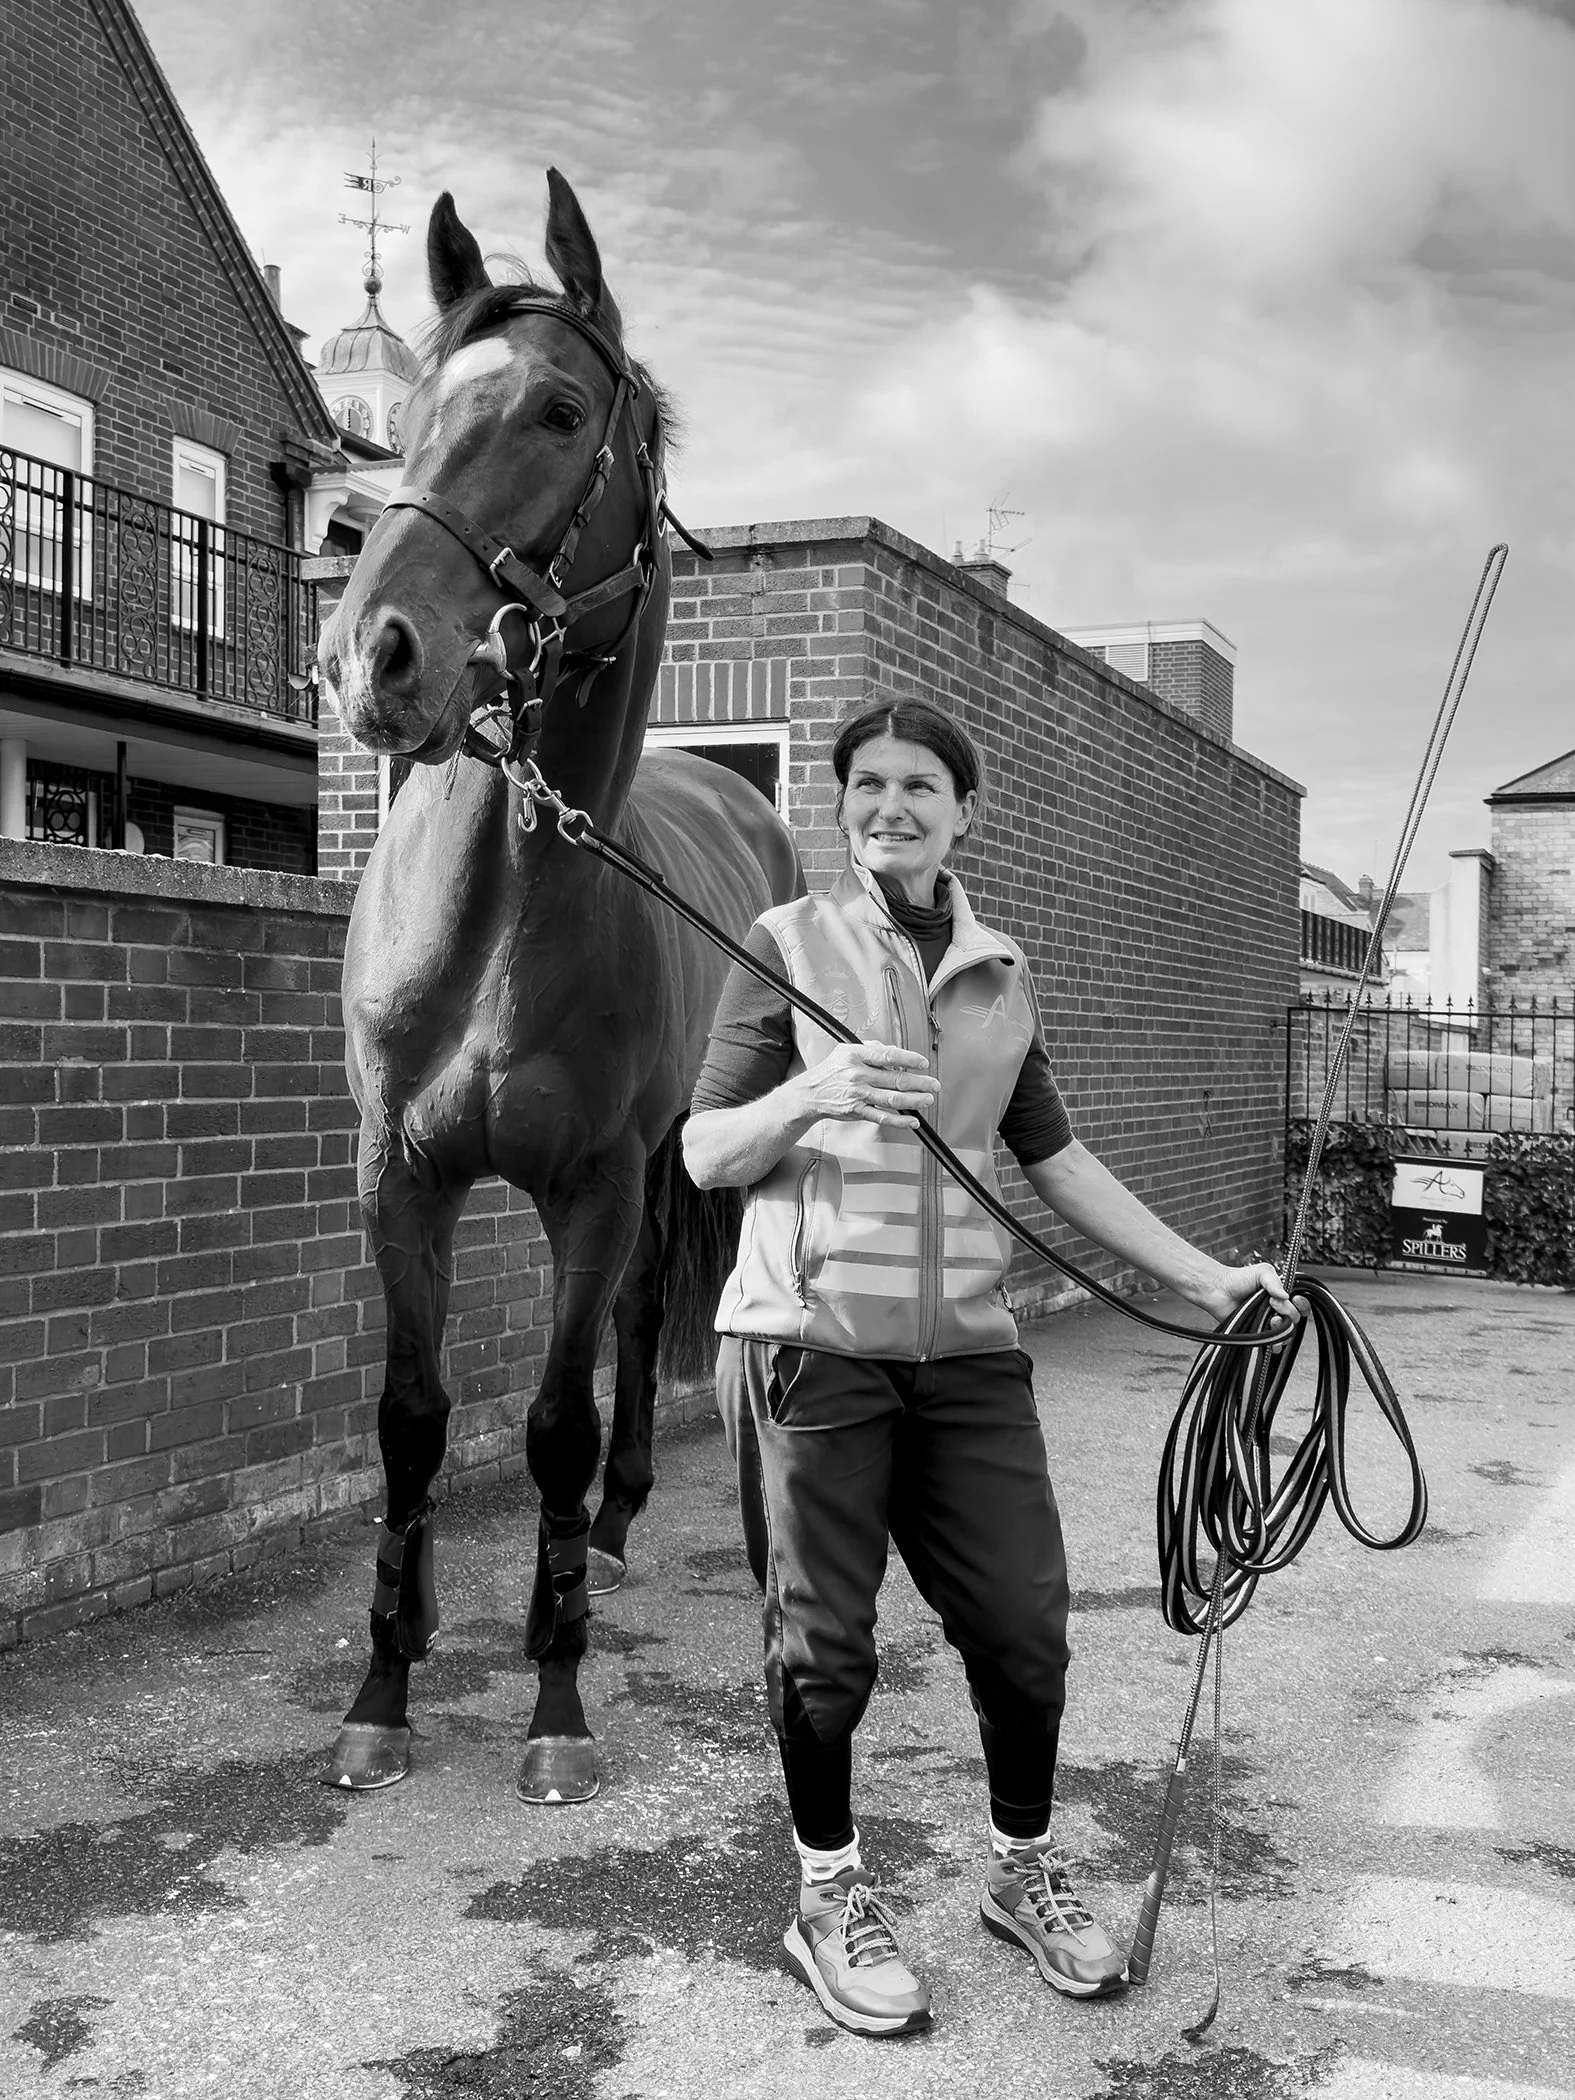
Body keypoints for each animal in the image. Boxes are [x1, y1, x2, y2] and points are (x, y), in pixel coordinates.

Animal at [315, 169, 803, 1805]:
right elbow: (411, 1422)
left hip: (663, 1158)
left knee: (645, 1317)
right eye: (405, 418)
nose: (371, 655)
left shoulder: (589, 1186)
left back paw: (613, 1532)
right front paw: (382, 1692)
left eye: (557, 409)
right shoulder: (397, 1173)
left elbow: (552, 1424)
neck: (496, 924)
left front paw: (557, 1702)